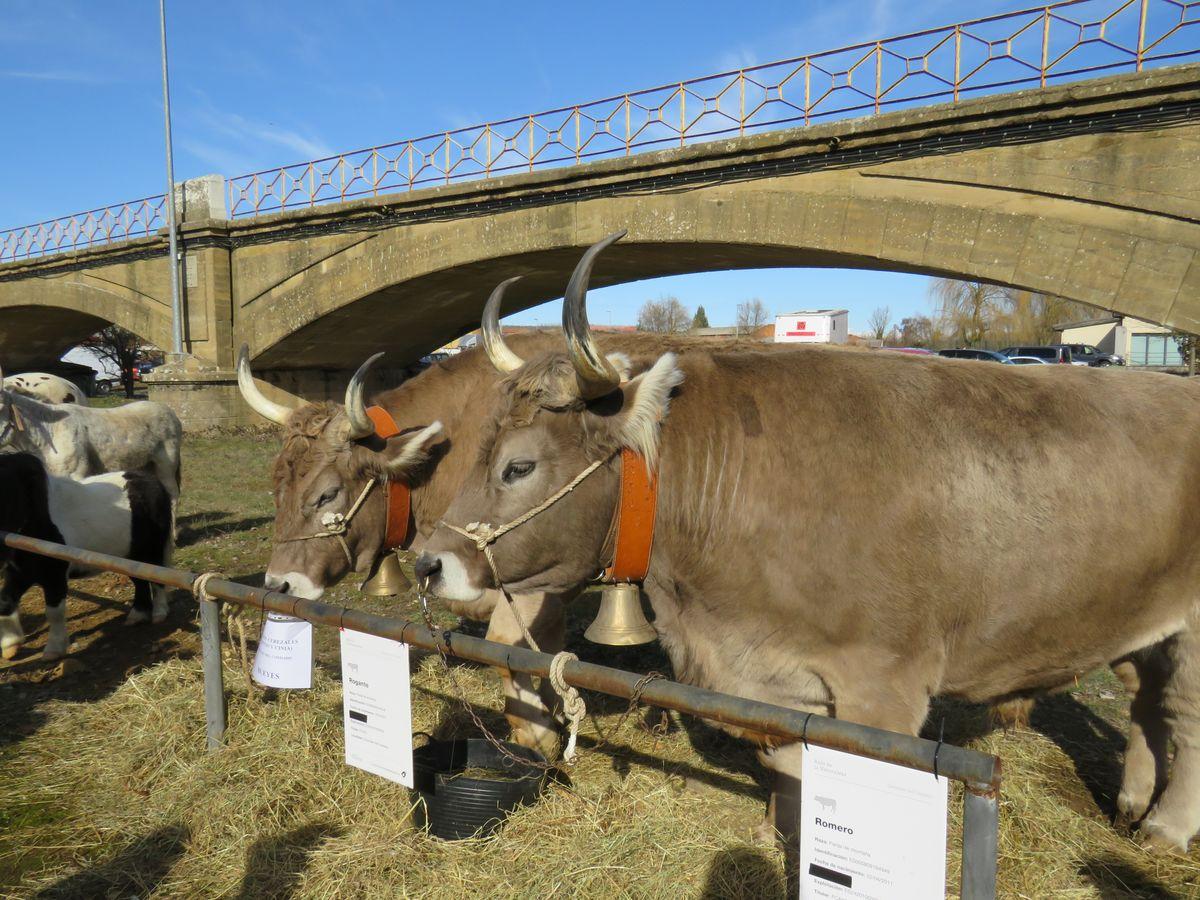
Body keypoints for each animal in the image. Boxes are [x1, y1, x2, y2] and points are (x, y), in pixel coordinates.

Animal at [0, 453, 174, 657]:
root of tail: (152, 481)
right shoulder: (20, 573)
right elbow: (5, 603)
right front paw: (10, 645)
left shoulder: (54, 576)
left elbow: (54, 612)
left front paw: (54, 649)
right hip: (130, 556)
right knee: (140, 582)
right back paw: (137, 615)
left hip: (152, 549)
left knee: (157, 578)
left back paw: (159, 613)